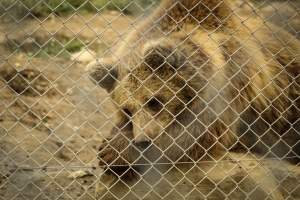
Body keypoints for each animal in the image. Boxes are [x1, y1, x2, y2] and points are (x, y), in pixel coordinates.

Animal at [86, 0, 300, 178]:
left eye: (154, 101)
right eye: (127, 110)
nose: (142, 139)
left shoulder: (230, 80)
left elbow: (199, 135)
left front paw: (116, 152)